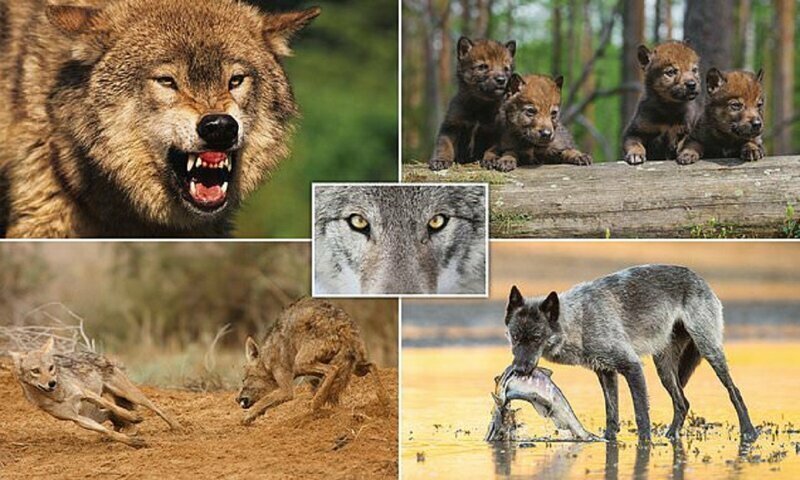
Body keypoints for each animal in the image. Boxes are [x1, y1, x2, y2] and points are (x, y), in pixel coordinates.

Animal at [9, 338, 181, 446]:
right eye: (35, 371)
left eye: (51, 368)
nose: (52, 383)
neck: (59, 395)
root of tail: (94, 353)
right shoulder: (78, 419)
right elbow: (106, 430)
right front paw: (131, 442)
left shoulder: (86, 393)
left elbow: (116, 408)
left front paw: (132, 416)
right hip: (95, 413)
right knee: (118, 422)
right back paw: (128, 432)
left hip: (130, 394)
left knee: (155, 408)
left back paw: (177, 426)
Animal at [236, 298, 390, 426]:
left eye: (244, 379)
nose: (237, 399)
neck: (267, 359)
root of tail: (342, 323)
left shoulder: (287, 390)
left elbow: (264, 401)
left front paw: (247, 417)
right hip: (355, 367)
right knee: (372, 365)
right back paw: (384, 399)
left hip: (301, 364)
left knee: (332, 369)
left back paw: (316, 403)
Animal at [504, 264, 760, 444]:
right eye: (514, 337)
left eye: (536, 338)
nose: (519, 370)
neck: (579, 319)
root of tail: (700, 278)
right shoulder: (606, 372)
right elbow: (611, 414)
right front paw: (609, 441)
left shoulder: (632, 367)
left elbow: (641, 414)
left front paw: (644, 445)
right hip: (664, 369)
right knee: (682, 403)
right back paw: (670, 435)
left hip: (709, 351)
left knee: (733, 391)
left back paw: (748, 432)